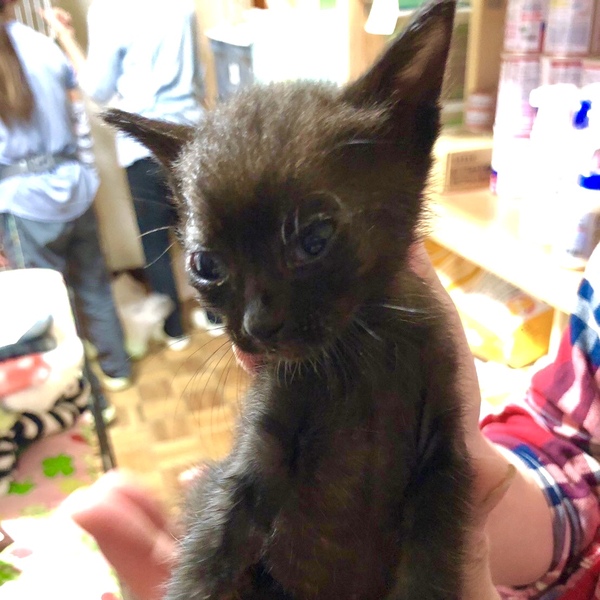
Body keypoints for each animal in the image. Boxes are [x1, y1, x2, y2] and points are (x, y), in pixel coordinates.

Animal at [104, 1, 472, 598]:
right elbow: (210, 553)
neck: (358, 359)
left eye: (314, 239)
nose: (258, 324)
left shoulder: (444, 462)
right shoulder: (256, 458)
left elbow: (431, 571)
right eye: (205, 266)